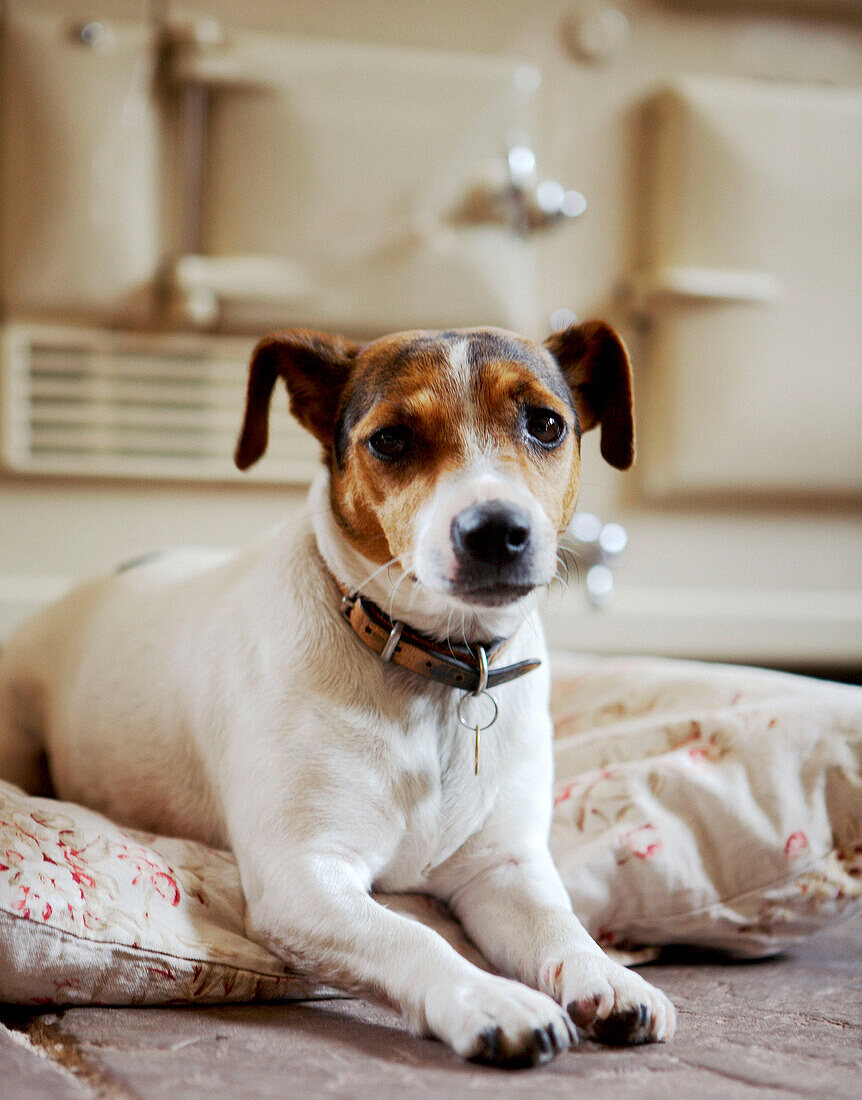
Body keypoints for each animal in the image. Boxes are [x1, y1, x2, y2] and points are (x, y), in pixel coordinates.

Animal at [0, 321, 672, 1064]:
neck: (433, 674)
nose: (496, 530)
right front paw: (489, 997)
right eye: (392, 439)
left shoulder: (504, 868)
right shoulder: (302, 876)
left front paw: (605, 974)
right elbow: (413, 934)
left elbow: (559, 923)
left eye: (547, 425)